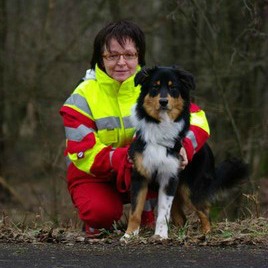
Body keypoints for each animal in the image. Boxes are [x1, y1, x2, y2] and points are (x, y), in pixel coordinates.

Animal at [120, 66, 248, 242]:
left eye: (173, 87)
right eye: (155, 87)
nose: (163, 101)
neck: (161, 126)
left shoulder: (169, 177)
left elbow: (163, 212)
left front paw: (160, 235)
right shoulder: (140, 175)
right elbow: (135, 211)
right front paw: (129, 235)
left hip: (190, 190)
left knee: (205, 213)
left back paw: (205, 235)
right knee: (182, 217)